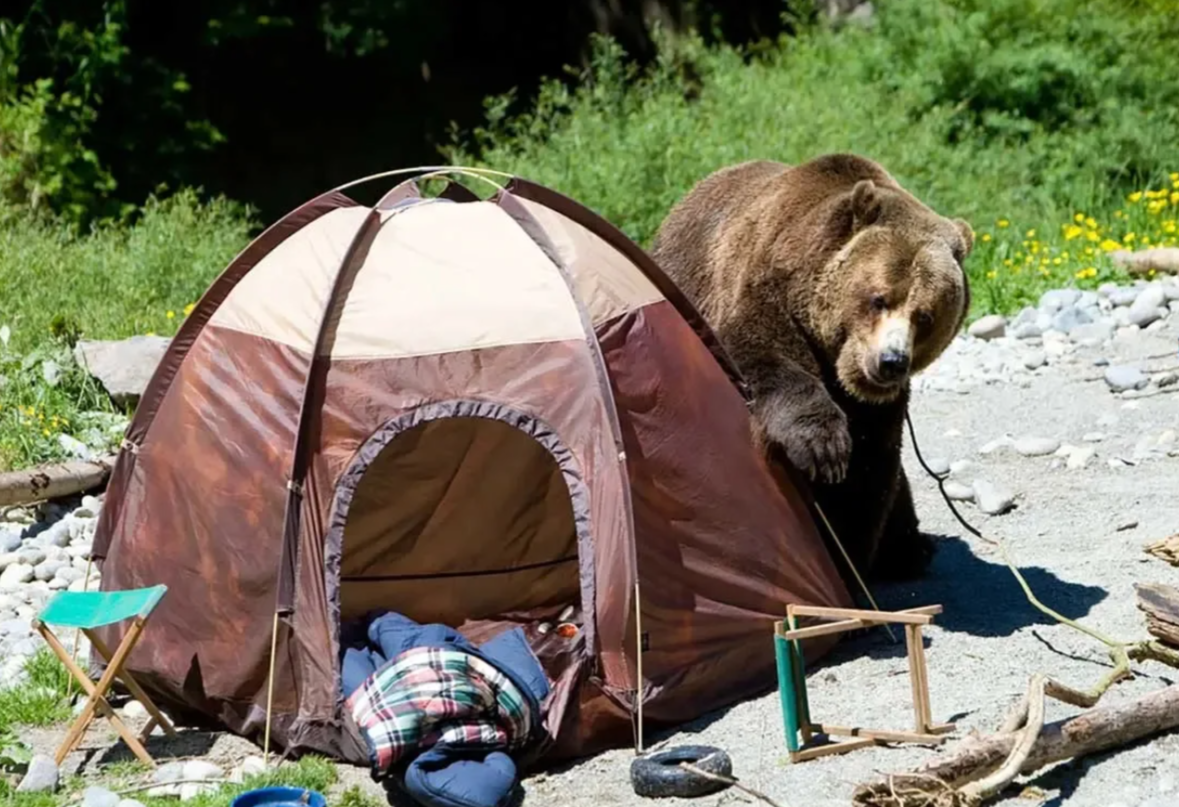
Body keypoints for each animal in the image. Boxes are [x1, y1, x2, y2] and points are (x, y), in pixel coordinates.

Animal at [650, 153, 971, 580]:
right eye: (879, 298)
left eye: (926, 316)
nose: (891, 361)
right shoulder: (768, 292)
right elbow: (765, 357)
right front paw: (822, 448)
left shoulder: (879, 407)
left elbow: (868, 469)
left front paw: (848, 554)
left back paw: (910, 549)